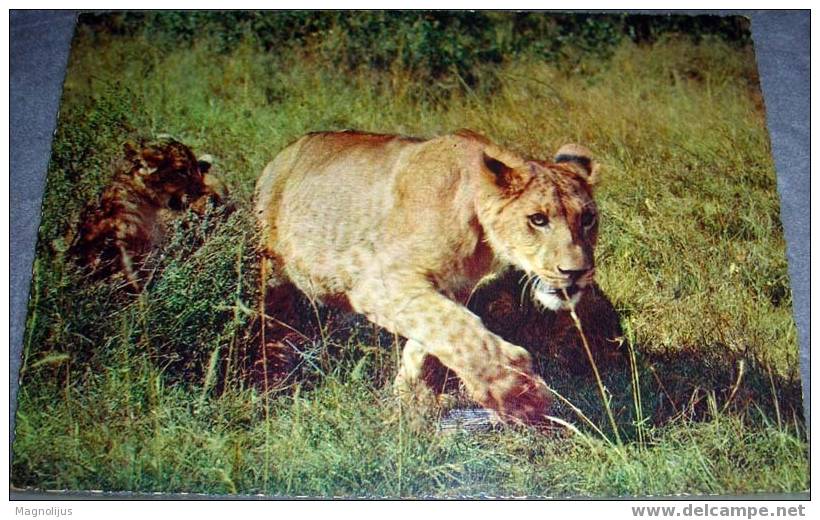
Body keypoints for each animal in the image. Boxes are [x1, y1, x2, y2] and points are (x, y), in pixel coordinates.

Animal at [256, 130, 604, 426]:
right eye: (537, 219)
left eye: (588, 218)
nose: (577, 272)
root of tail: (281, 154)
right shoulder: (376, 281)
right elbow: (460, 332)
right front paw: (519, 395)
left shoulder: (450, 289)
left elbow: (433, 337)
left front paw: (407, 398)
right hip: (270, 268)